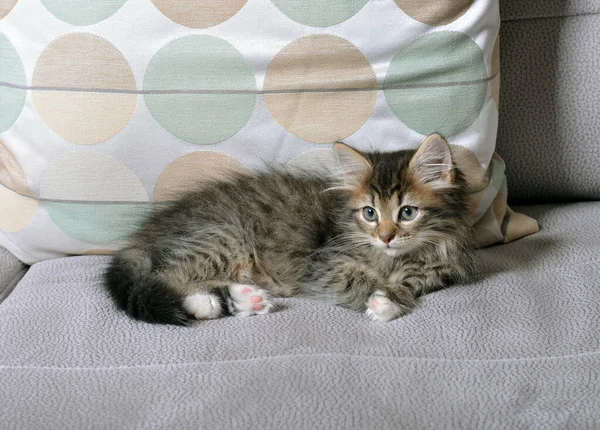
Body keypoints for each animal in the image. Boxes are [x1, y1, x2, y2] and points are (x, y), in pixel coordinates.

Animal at [105, 133, 476, 324]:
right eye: (370, 213)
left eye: (408, 212)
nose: (386, 237)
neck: (395, 258)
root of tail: (146, 233)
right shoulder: (325, 264)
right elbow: (363, 279)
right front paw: (384, 299)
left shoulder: (440, 270)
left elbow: (413, 283)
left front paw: (394, 294)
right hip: (224, 238)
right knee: (164, 275)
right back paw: (205, 303)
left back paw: (244, 300)